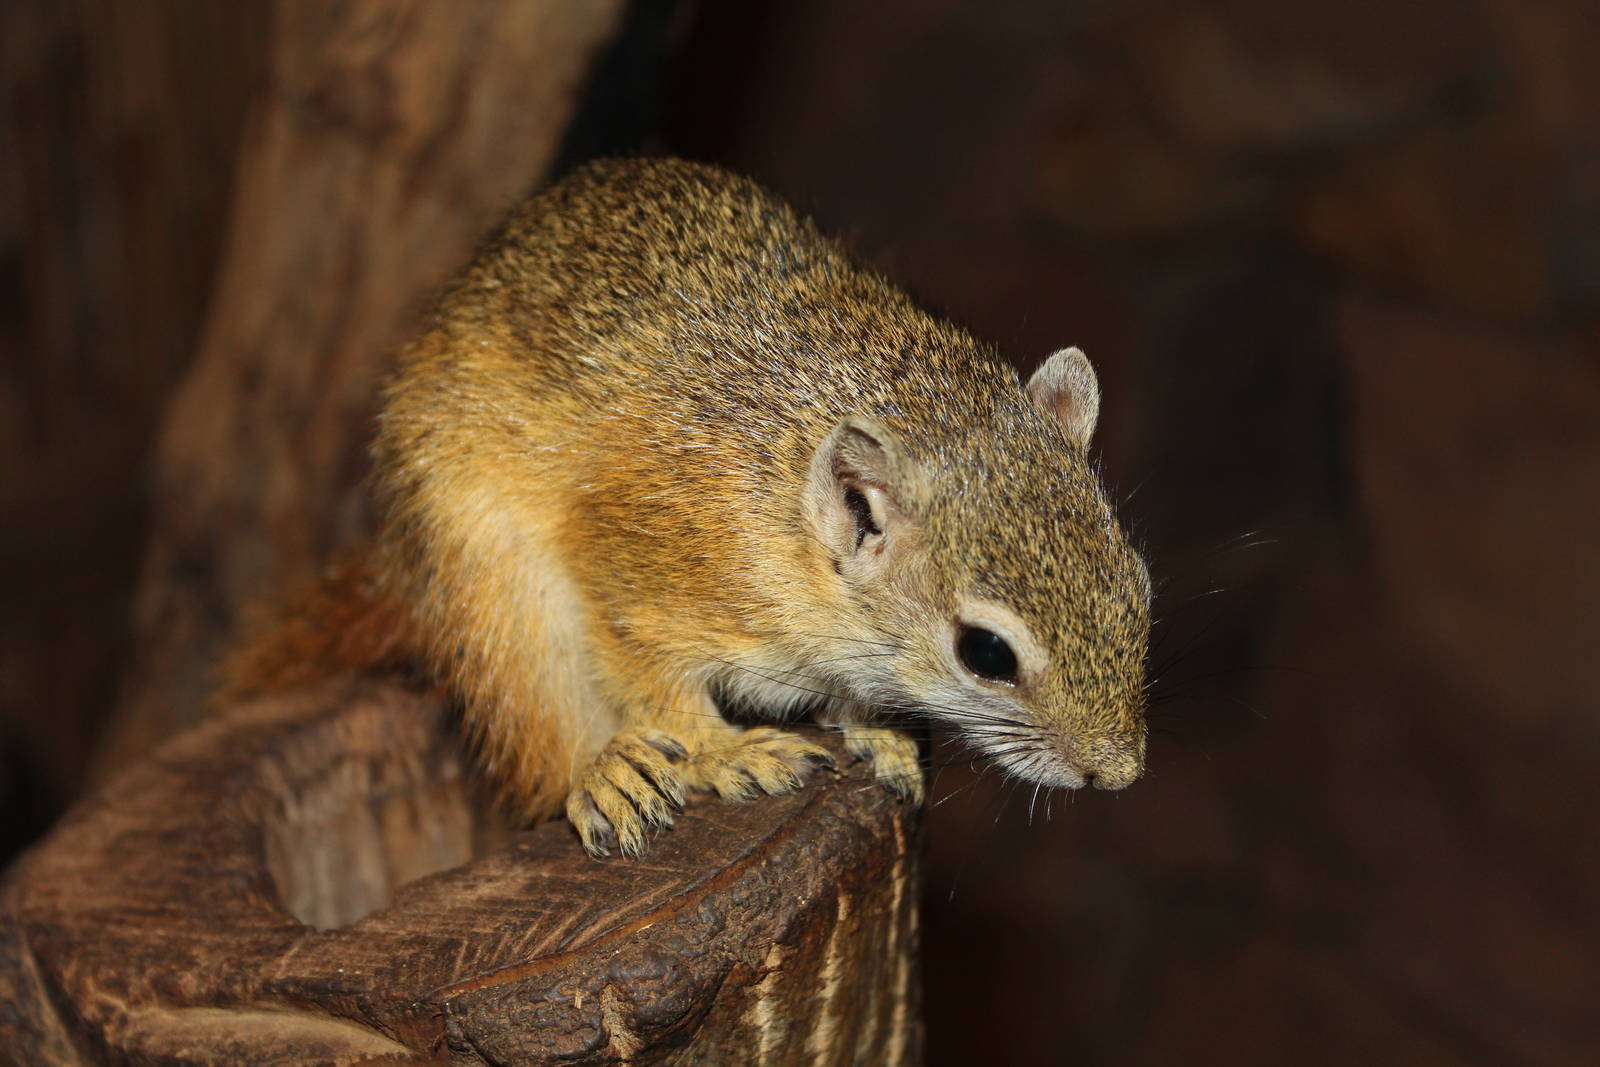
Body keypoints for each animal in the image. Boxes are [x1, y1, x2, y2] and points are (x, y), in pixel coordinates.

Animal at [224, 158, 1152, 858]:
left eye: (1138, 586)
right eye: (985, 652)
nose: (1119, 773)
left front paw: (873, 728)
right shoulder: (642, 572)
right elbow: (658, 683)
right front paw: (724, 751)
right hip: (495, 603)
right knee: (540, 743)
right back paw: (606, 772)